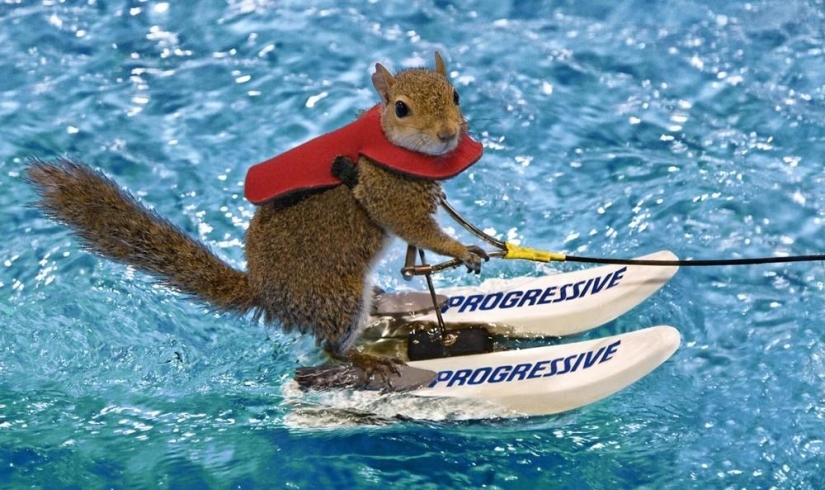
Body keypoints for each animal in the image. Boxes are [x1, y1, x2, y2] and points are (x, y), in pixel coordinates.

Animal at [26, 52, 487, 384]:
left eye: (456, 95)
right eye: (401, 109)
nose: (448, 134)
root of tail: (267, 296)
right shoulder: (386, 192)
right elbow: (415, 227)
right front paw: (462, 249)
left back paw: (398, 300)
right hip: (337, 299)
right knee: (333, 347)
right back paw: (366, 360)